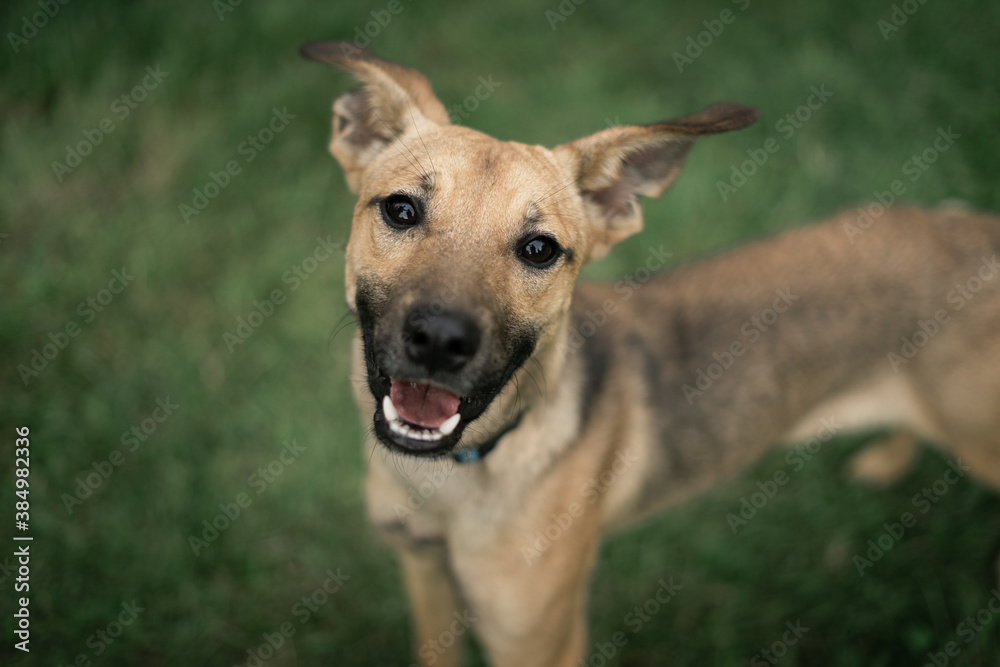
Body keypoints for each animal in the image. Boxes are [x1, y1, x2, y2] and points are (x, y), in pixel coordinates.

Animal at [298, 41, 1000, 667]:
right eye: (400, 209)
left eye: (539, 249)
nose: (441, 340)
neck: (453, 480)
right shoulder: (424, 579)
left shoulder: (539, 642)